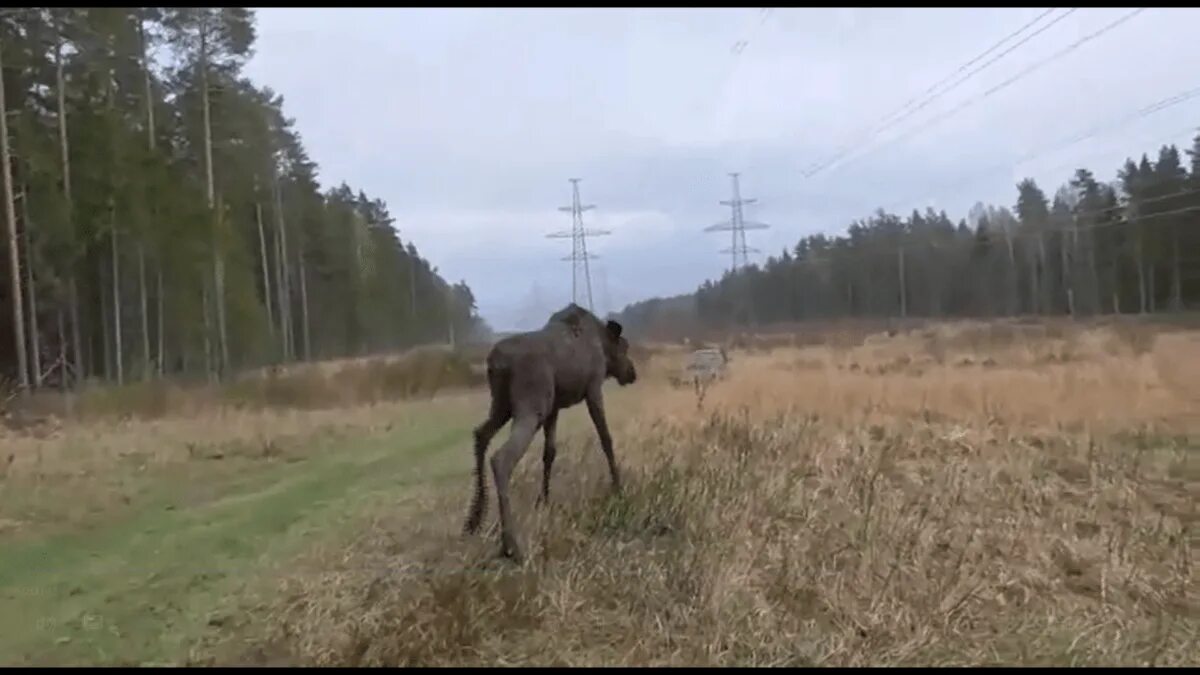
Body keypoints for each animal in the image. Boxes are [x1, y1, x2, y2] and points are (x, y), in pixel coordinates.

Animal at [463, 302, 643, 559]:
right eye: (624, 347)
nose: (632, 372)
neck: (602, 344)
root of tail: (495, 363)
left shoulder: (554, 407)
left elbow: (549, 453)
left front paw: (544, 500)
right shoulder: (593, 388)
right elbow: (606, 438)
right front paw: (618, 488)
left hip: (502, 405)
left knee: (480, 434)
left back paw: (475, 517)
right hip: (531, 406)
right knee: (501, 458)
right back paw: (510, 545)